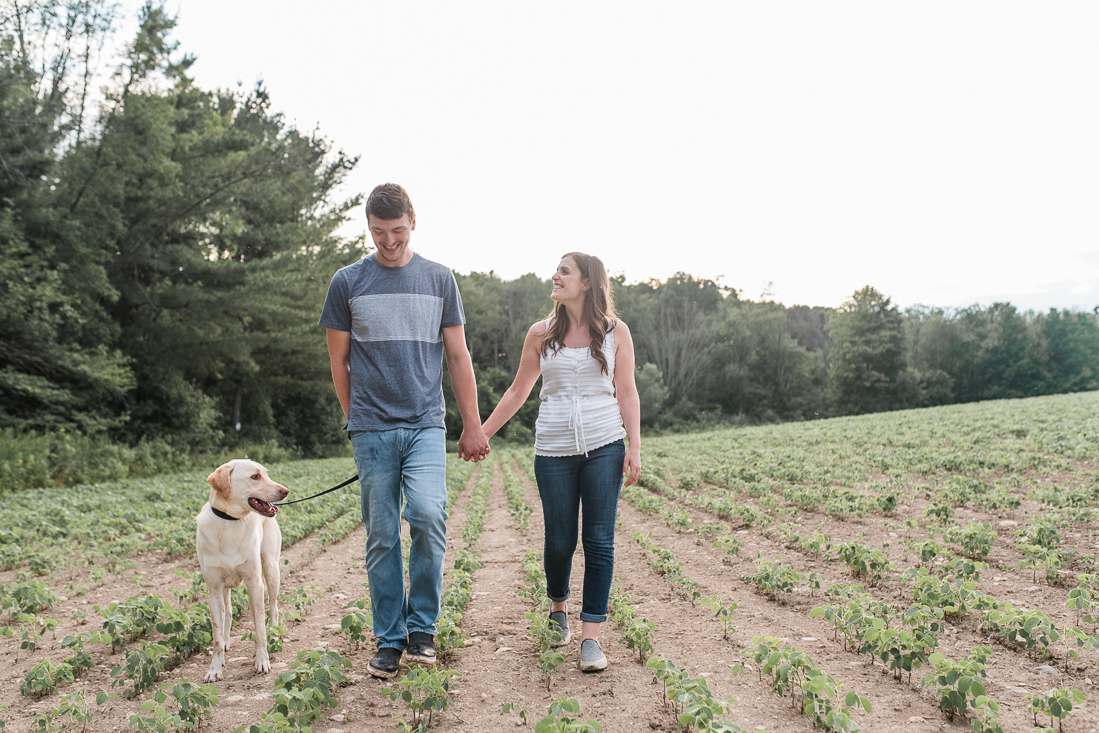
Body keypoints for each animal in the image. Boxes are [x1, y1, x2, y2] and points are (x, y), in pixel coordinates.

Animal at [195, 459, 287, 681]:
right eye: (255, 476)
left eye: (266, 474)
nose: (286, 491)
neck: (230, 521)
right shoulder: (214, 589)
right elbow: (216, 636)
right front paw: (215, 668)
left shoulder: (255, 583)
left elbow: (259, 629)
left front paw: (262, 660)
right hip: (225, 588)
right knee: (228, 612)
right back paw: (227, 641)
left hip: (271, 570)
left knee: (274, 607)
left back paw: (274, 633)